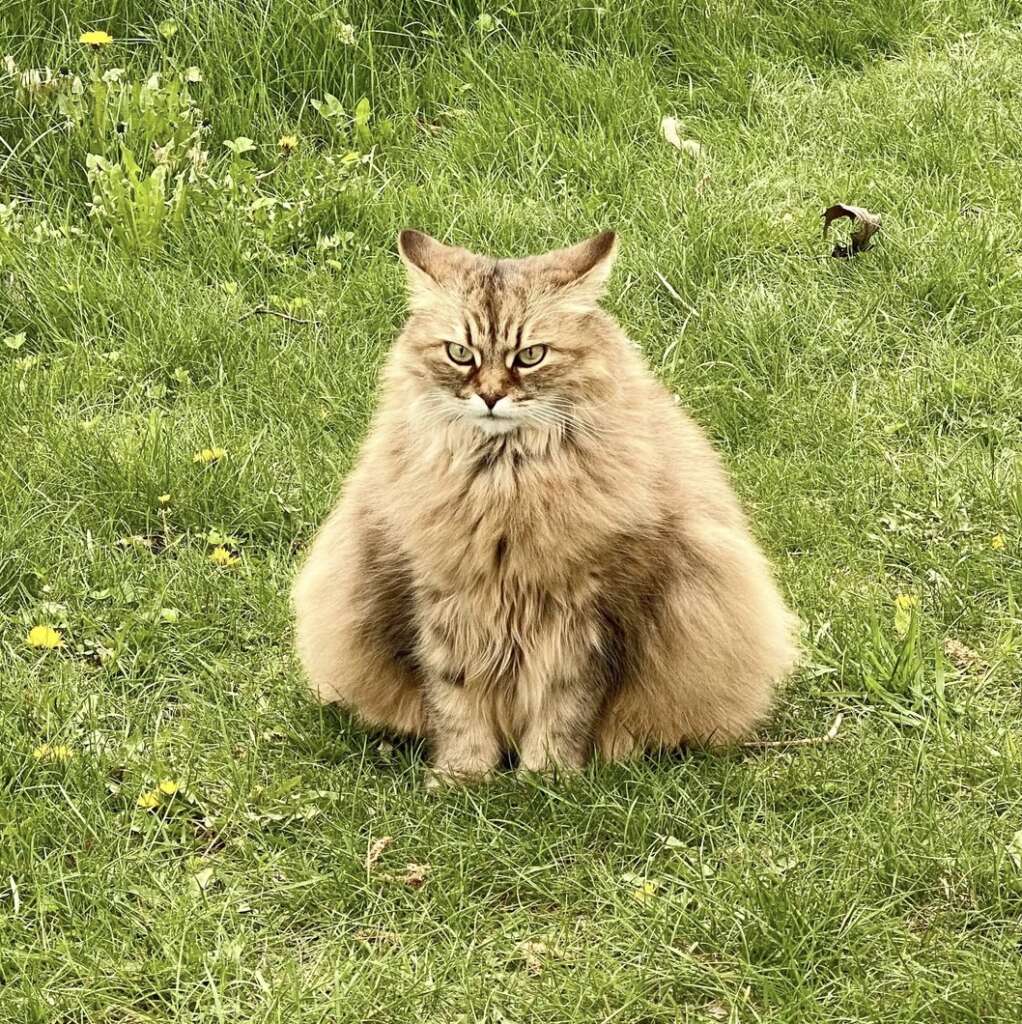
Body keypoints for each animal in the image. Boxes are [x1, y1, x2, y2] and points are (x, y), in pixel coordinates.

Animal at [292, 228, 802, 778]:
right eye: (460, 353)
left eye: (531, 355)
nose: (491, 396)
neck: (504, 487)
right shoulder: (439, 598)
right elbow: (456, 704)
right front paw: (463, 777)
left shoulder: (587, 615)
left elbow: (563, 707)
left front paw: (548, 779)